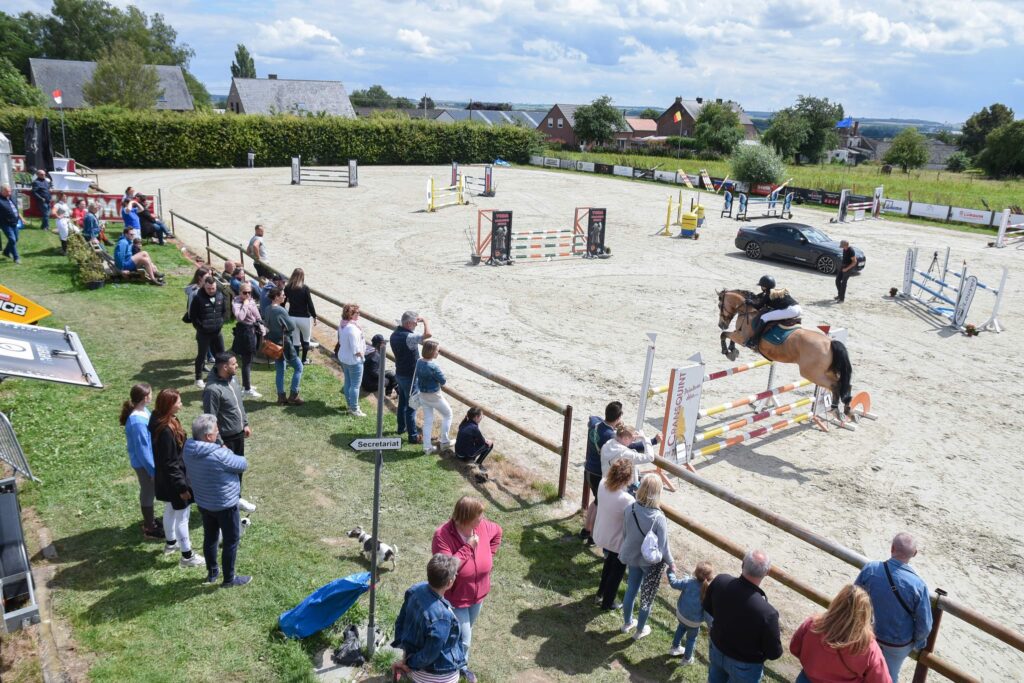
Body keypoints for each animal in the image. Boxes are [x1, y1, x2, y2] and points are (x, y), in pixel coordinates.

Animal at [717, 289, 852, 416]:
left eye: (719, 305)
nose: (721, 324)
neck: (749, 311)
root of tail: (830, 342)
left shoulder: (742, 338)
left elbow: (724, 334)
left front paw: (727, 351)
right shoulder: (738, 335)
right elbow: (729, 335)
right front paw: (732, 351)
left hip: (812, 373)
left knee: (835, 385)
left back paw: (836, 409)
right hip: (826, 371)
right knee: (842, 383)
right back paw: (846, 410)